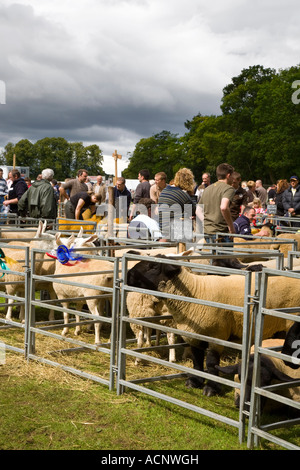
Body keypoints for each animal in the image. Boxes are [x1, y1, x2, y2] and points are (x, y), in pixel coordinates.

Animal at [126, 258, 300, 396]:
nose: (127, 275)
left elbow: (210, 363)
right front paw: (194, 381)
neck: (194, 293)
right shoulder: (194, 335)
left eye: (153, 267)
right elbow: (196, 359)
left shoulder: (217, 336)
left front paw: (211, 388)